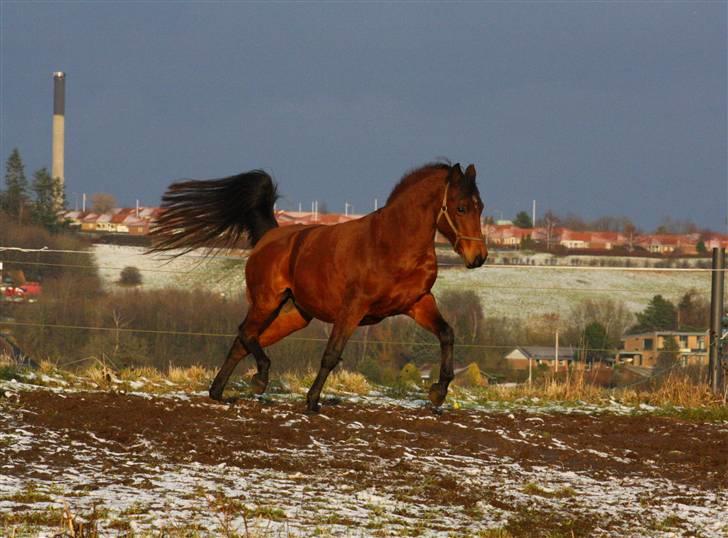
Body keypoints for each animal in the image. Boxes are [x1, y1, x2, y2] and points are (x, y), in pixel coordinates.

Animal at [150, 159, 486, 410]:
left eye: (480, 206)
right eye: (460, 207)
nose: (478, 257)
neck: (393, 244)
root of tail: (270, 236)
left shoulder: (417, 302)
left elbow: (447, 334)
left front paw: (438, 392)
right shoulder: (353, 308)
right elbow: (332, 353)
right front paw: (312, 401)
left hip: (296, 314)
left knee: (244, 340)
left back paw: (219, 392)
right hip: (267, 301)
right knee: (246, 333)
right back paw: (258, 379)